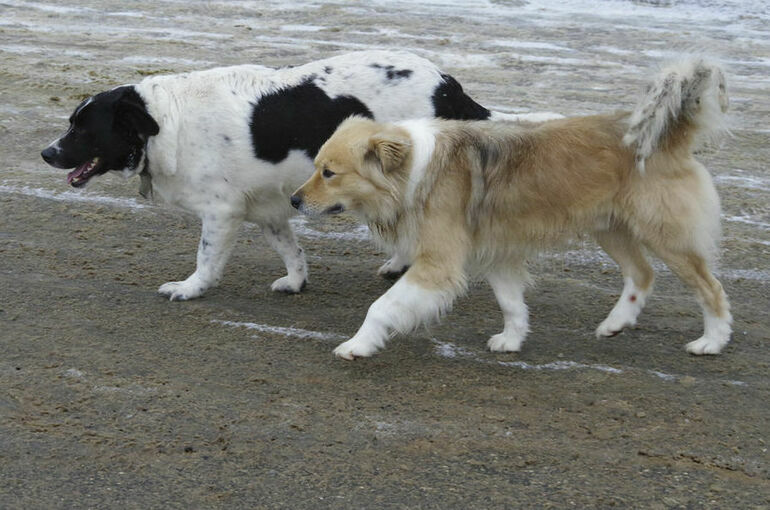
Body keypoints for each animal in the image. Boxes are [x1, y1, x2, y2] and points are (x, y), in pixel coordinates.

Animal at [42, 50, 560, 300]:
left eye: (82, 128)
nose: (47, 153)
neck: (165, 122)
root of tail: (448, 85)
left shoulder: (220, 213)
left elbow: (206, 259)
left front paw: (191, 290)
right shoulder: (269, 208)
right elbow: (292, 252)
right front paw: (295, 283)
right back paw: (398, 262)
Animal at [292, 57, 728, 360]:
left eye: (329, 173)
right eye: (316, 167)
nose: (294, 200)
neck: (416, 169)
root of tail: (668, 137)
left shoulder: (438, 264)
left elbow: (382, 308)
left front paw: (357, 345)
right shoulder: (496, 254)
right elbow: (512, 304)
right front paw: (512, 339)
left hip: (666, 235)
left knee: (710, 288)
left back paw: (713, 340)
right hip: (610, 228)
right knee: (642, 274)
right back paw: (616, 323)